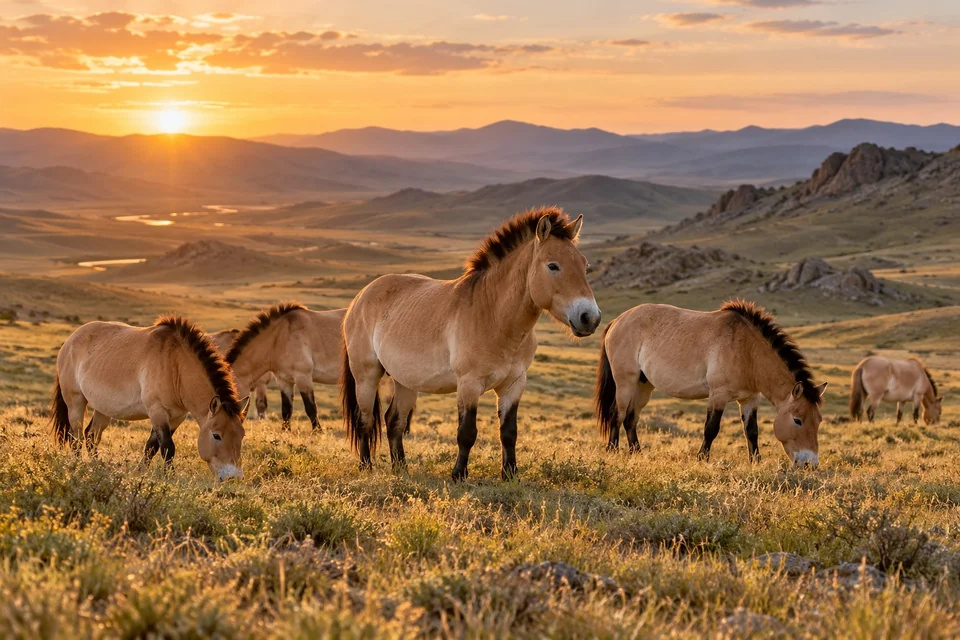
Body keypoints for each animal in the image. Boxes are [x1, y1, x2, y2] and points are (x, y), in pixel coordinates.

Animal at [51, 316, 249, 482]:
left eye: (241, 435)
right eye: (216, 435)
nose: (233, 478)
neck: (174, 364)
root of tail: (70, 341)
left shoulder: (177, 417)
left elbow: (151, 447)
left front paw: (140, 473)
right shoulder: (157, 411)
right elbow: (167, 447)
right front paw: (170, 477)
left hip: (103, 408)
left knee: (91, 436)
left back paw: (96, 467)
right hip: (75, 402)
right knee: (76, 437)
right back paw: (78, 466)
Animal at [226, 303, 346, 431]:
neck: (279, 338)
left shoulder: (303, 378)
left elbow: (311, 408)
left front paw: (317, 432)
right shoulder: (284, 381)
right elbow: (286, 410)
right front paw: (285, 431)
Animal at [341, 207, 601, 480]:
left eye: (584, 265)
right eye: (553, 266)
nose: (590, 318)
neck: (493, 316)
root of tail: (360, 297)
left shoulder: (514, 385)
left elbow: (509, 432)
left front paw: (510, 474)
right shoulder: (469, 384)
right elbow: (466, 433)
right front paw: (458, 474)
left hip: (405, 381)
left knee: (394, 421)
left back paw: (401, 468)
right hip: (367, 376)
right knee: (365, 420)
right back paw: (366, 466)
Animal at [595, 300, 827, 468]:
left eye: (818, 421)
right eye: (797, 420)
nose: (810, 464)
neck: (747, 350)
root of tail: (617, 320)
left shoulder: (750, 399)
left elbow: (751, 431)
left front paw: (756, 462)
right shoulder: (718, 396)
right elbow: (711, 429)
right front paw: (701, 459)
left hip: (643, 385)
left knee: (631, 418)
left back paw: (636, 453)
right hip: (625, 382)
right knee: (617, 414)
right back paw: (612, 451)